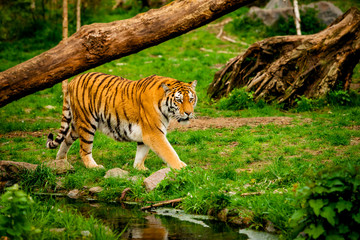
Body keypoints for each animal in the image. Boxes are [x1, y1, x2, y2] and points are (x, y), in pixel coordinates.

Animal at [45, 72, 197, 170]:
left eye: (191, 99)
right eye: (179, 100)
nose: (189, 113)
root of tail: (73, 81)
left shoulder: (146, 134)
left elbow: (141, 153)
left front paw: (139, 168)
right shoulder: (154, 133)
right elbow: (169, 152)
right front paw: (182, 168)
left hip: (78, 125)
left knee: (66, 138)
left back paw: (61, 161)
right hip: (87, 123)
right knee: (84, 150)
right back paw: (94, 167)